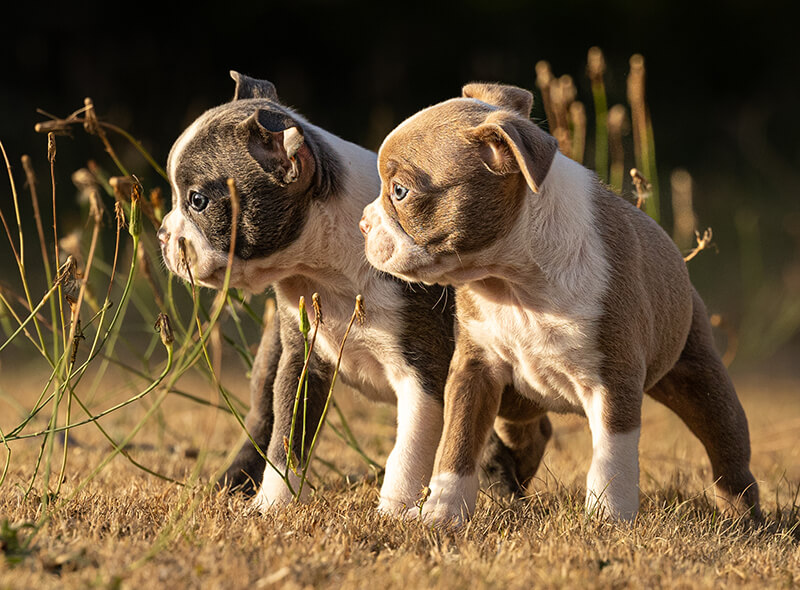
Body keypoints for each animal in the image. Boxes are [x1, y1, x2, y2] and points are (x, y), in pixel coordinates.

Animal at [158, 73, 552, 512]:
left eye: (198, 201)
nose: (162, 235)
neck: (325, 268)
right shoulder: (301, 361)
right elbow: (286, 437)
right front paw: (273, 504)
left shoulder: (423, 374)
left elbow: (408, 448)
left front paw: (394, 511)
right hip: (271, 356)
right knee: (262, 418)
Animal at [362, 83, 764, 528]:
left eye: (400, 191)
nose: (363, 222)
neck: (514, 280)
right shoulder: (475, 370)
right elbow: (459, 440)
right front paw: (443, 512)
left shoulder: (615, 379)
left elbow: (612, 458)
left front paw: (608, 518)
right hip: (516, 400)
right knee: (531, 432)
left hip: (698, 377)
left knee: (726, 445)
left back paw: (744, 515)